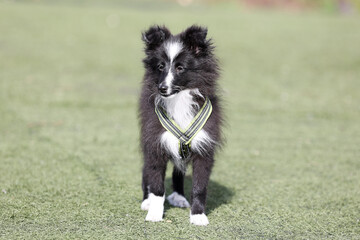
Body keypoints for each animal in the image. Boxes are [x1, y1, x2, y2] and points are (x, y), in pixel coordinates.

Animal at [139, 25, 221, 226]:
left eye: (180, 68)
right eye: (160, 66)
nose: (162, 88)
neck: (179, 99)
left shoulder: (204, 147)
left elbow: (199, 187)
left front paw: (198, 216)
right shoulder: (155, 142)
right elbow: (157, 186)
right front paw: (154, 214)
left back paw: (178, 196)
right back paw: (146, 201)